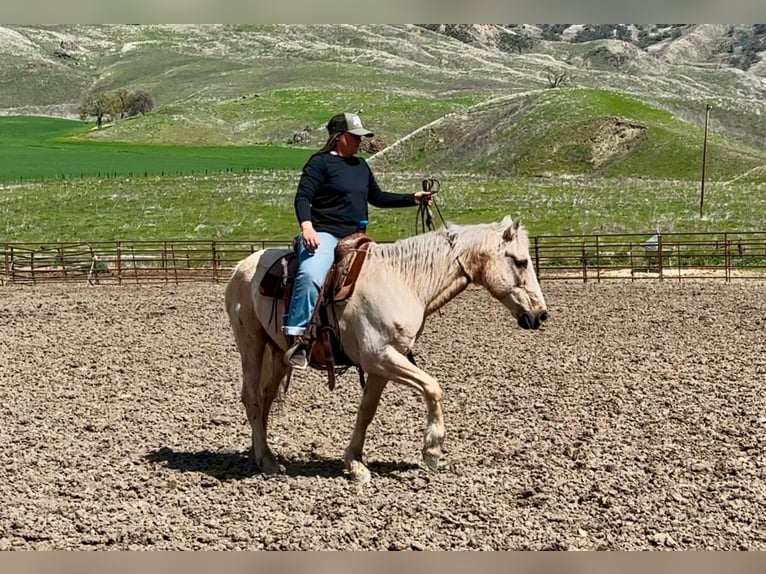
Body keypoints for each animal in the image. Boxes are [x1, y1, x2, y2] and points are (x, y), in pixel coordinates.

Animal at [224, 216, 548, 484]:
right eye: (521, 262)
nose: (541, 315)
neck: (404, 281)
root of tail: (242, 266)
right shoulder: (381, 357)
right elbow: (433, 387)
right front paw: (432, 450)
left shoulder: (382, 365)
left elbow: (367, 411)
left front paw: (354, 463)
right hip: (251, 343)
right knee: (252, 398)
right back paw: (267, 462)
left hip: (278, 353)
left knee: (266, 398)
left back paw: (262, 454)